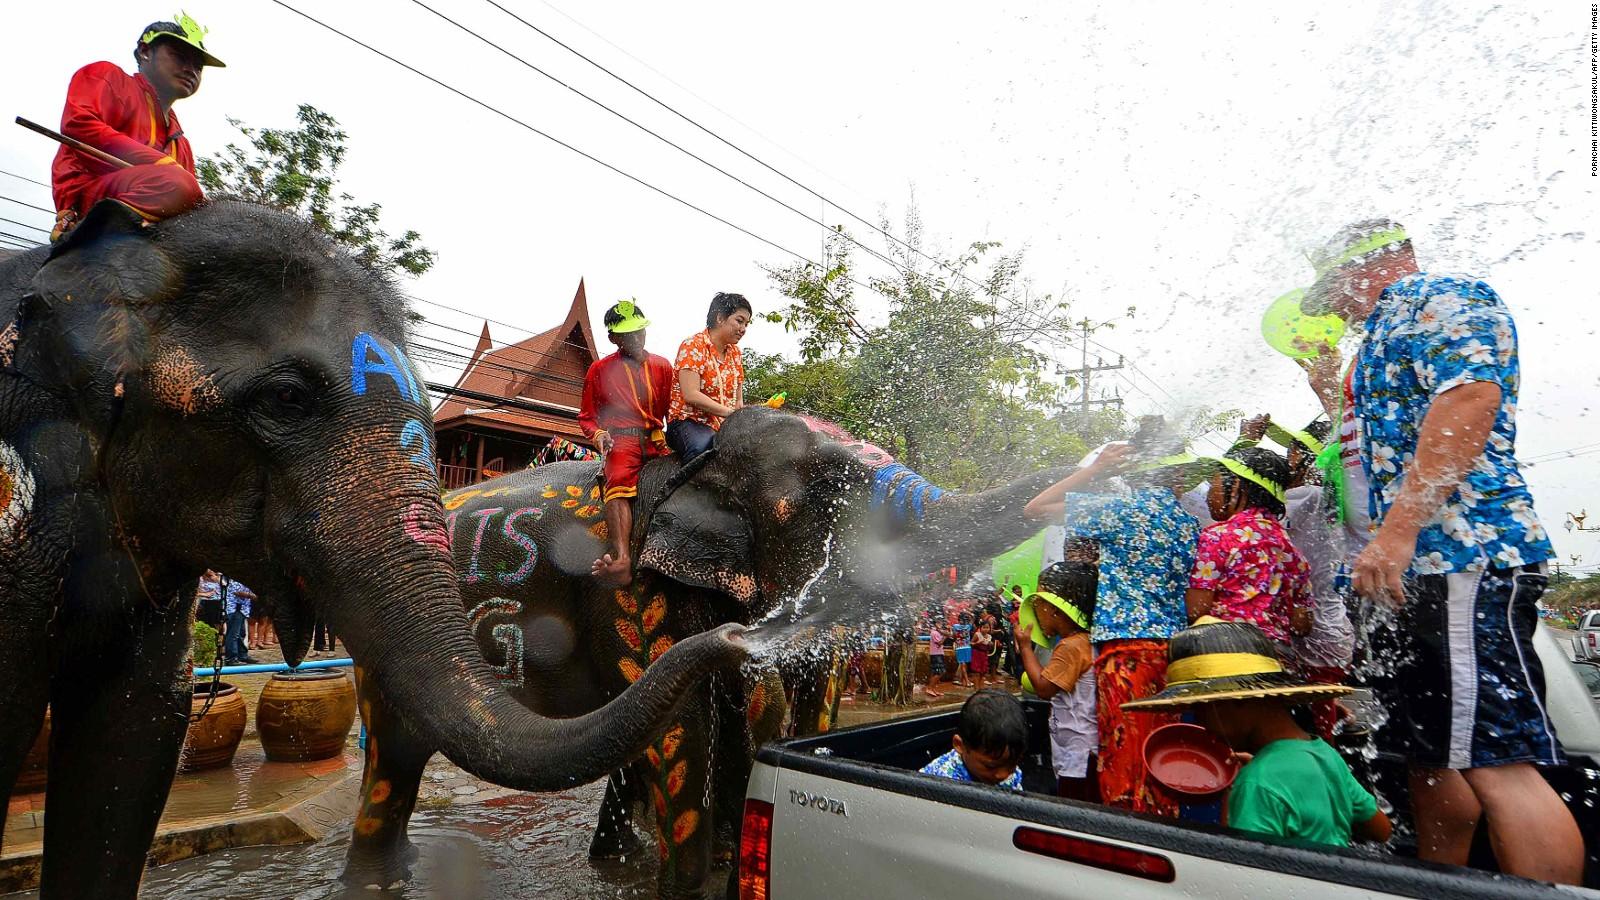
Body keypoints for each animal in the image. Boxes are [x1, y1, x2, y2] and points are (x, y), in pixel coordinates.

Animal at [390, 408, 1062, 896]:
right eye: (829, 492)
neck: (696, 465)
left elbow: (751, 711)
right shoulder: (631, 589)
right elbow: (685, 727)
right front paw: (686, 888)